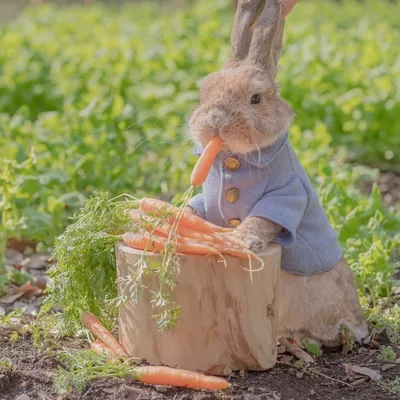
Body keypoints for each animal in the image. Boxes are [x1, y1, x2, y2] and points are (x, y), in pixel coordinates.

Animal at [186, 0, 368, 346]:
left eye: (255, 98)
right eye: (204, 93)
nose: (215, 121)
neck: (237, 158)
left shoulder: (286, 195)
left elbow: (264, 217)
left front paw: (242, 240)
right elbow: (197, 209)